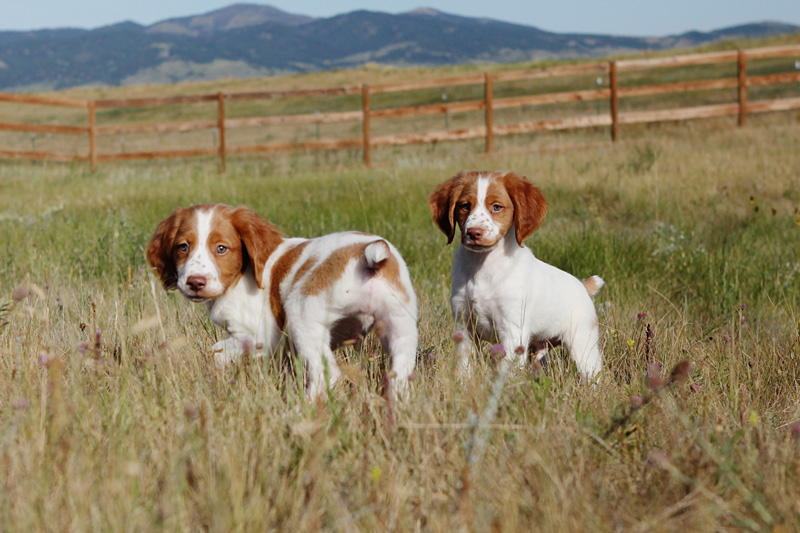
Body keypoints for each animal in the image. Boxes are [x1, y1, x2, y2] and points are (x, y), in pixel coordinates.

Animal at [147, 204, 418, 400]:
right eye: (183, 247)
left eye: (221, 249)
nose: (195, 282)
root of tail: (369, 254)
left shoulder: (258, 337)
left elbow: (217, 353)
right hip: (401, 327)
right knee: (399, 377)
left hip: (302, 317)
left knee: (326, 375)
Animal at [428, 170, 604, 378]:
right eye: (465, 206)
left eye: (496, 207)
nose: (473, 232)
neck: (482, 267)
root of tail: (583, 286)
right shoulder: (464, 325)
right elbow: (465, 367)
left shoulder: (511, 330)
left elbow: (507, 371)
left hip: (583, 346)